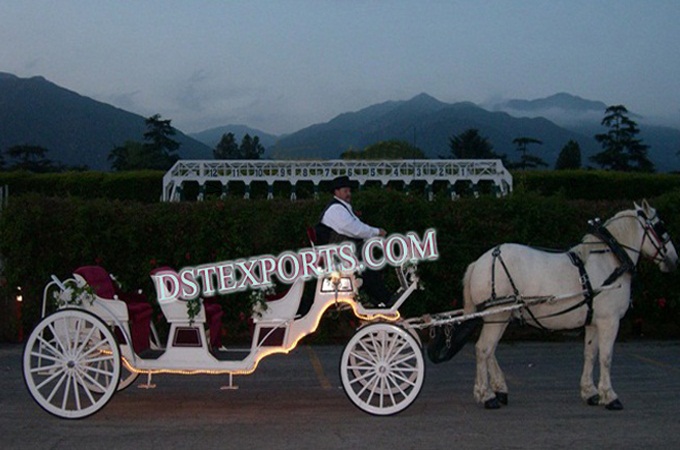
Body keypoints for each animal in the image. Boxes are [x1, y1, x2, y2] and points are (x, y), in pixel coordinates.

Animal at [462, 199, 676, 410]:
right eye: (660, 227)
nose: (674, 260)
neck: (611, 260)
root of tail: (479, 262)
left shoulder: (594, 322)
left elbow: (590, 354)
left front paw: (590, 392)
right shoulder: (610, 321)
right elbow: (606, 357)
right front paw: (610, 396)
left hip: (500, 317)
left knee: (490, 351)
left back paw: (499, 390)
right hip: (497, 315)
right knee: (483, 349)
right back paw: (486, 395)